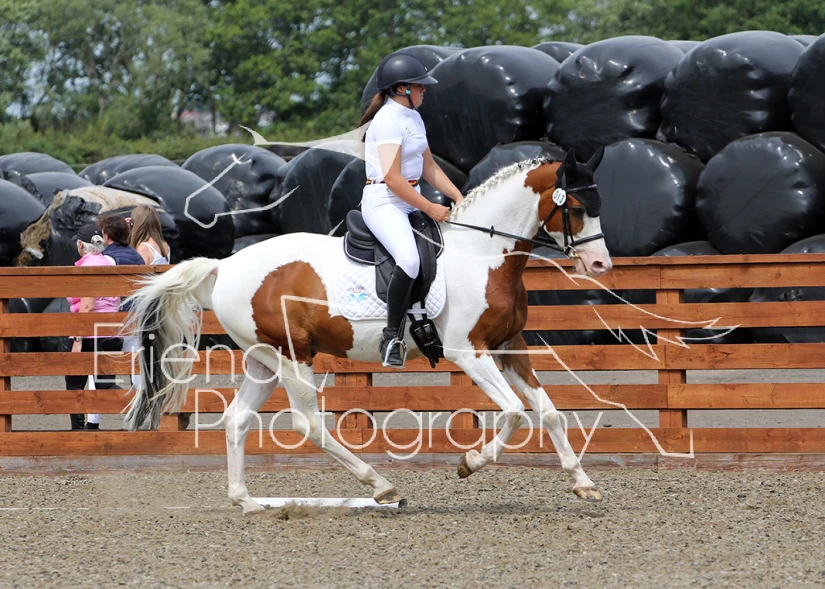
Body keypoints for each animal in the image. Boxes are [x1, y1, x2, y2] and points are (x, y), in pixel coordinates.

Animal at [122, 147, 613, 513]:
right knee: (308, 423)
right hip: (291, 356)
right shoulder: (467, 351)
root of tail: (224, 266)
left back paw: (247, 501)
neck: (482, 254)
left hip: (264, 359)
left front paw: (583, 483)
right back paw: (380, 486)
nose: (600, 264)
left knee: (237, 419)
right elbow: (513, 411)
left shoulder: (510, 347)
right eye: (578, 208)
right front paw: (469, 462)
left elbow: (548, 411)